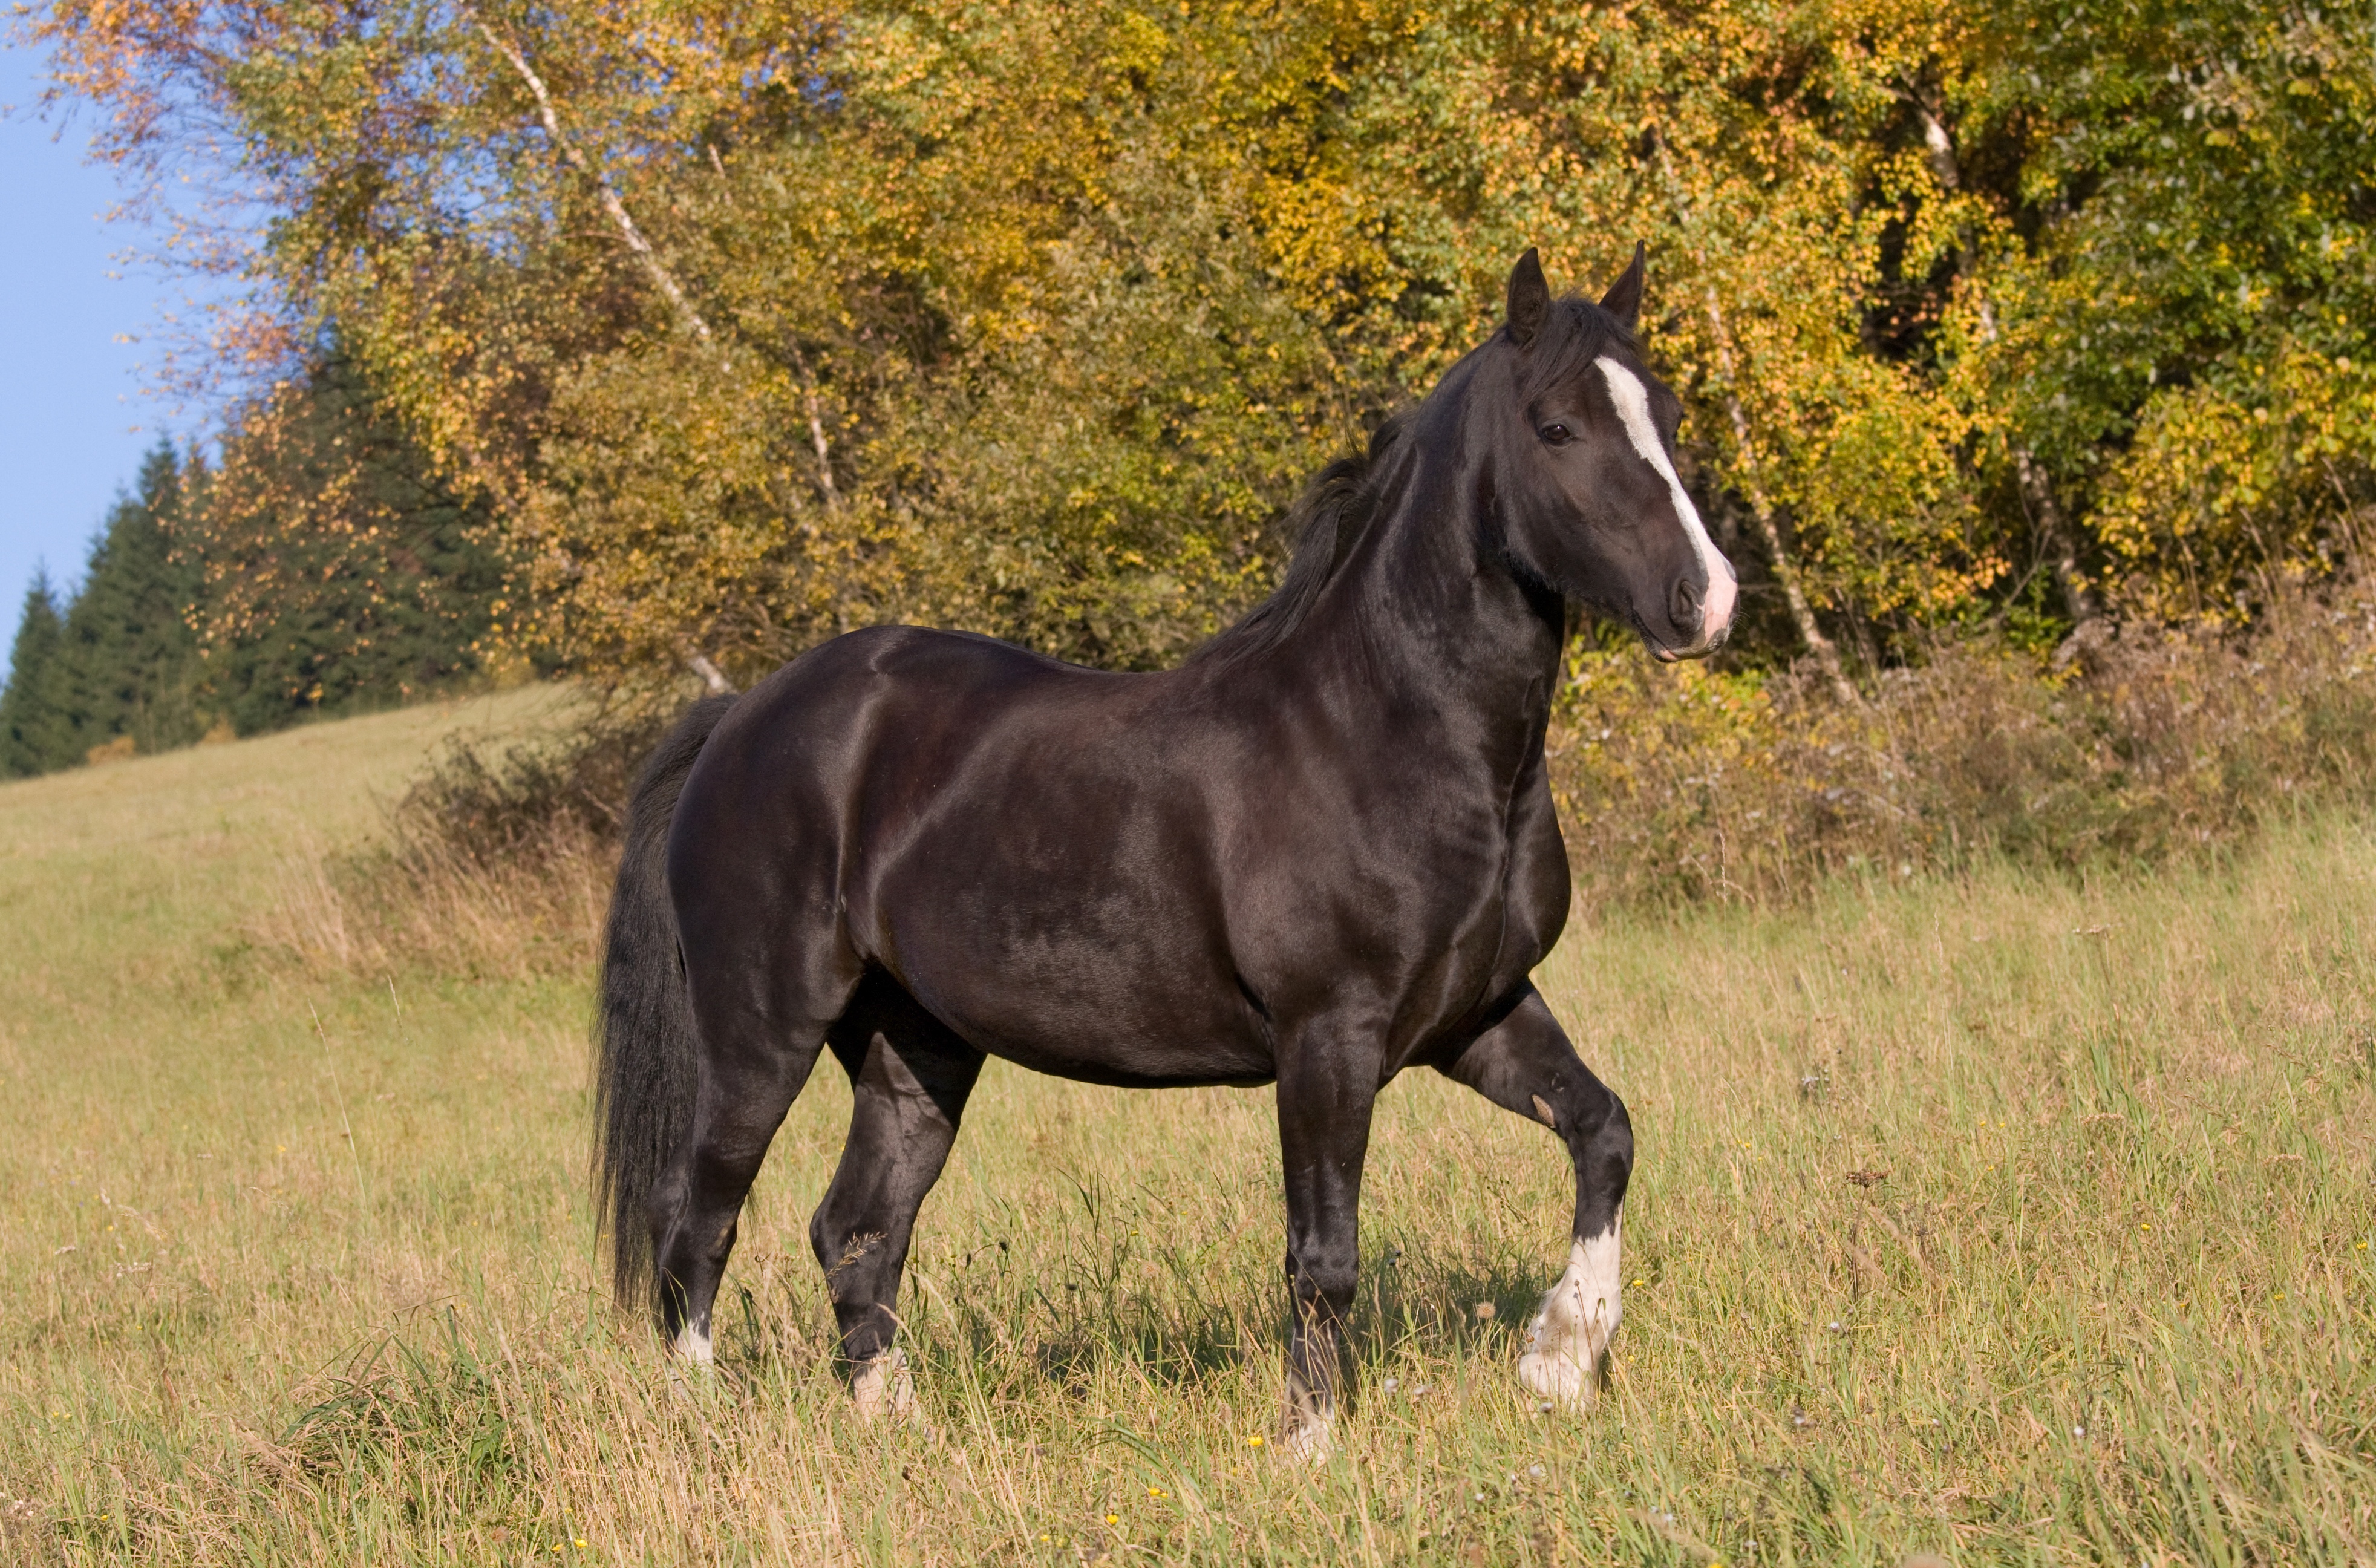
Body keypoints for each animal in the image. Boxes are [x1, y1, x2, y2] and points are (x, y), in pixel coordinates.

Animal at [603, 244, 1739, 1444]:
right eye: (1556, 426)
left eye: (1666, 413)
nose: (1705, 601)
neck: (1386, 728)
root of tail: (741, 717)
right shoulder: (1327, 1037)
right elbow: (1323, 1256)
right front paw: (1311, 1444)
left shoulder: (1476, 1011)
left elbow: (1603, 1130)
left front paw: (1561, 1356)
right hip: (759, 1032)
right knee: (699, 1223)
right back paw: (699, 1422)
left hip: (913, 1047)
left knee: (857, 1228)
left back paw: (893, 1424)